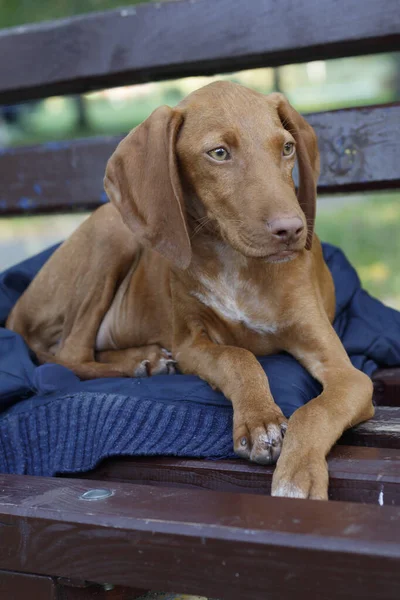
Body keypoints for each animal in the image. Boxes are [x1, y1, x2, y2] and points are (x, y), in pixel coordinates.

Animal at [7, 82, 376, 500]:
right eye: (218, 153)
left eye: (286, 147)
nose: (292, 230)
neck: (236, 261)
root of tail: (17, 309)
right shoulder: (190, 343)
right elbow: (237, 357)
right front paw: (261, 419)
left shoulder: (348, 374)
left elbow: (315, 410)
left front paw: (297, 477)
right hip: (112, 230)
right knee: (67, 354)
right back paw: (142, 363)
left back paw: (146, 358)